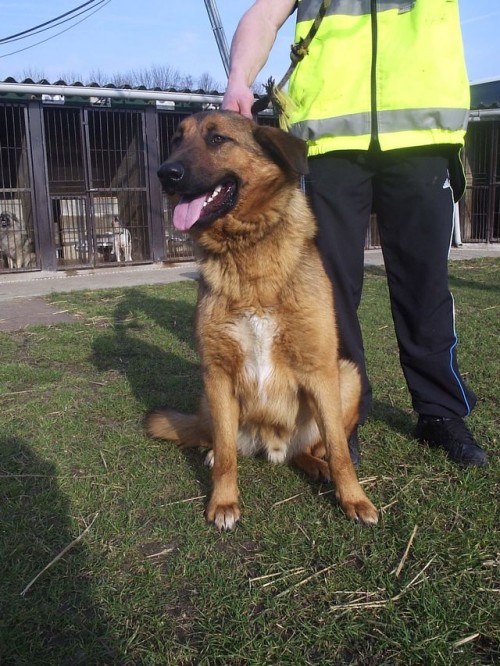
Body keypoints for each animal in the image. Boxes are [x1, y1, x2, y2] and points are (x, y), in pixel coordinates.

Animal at [146, 113, 376, 528]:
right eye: (176, 139)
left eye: (217, 139)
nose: (165, 173)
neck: (247, 252)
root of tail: (273, 445)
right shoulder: (218, 372)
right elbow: (226, 454)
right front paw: (223, 502)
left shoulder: (319, 369)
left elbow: (339, 450)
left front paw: (353, 498)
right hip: (210, 395)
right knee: (223, 443)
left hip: (346, 376)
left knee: (313, 449)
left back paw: (317, 466)